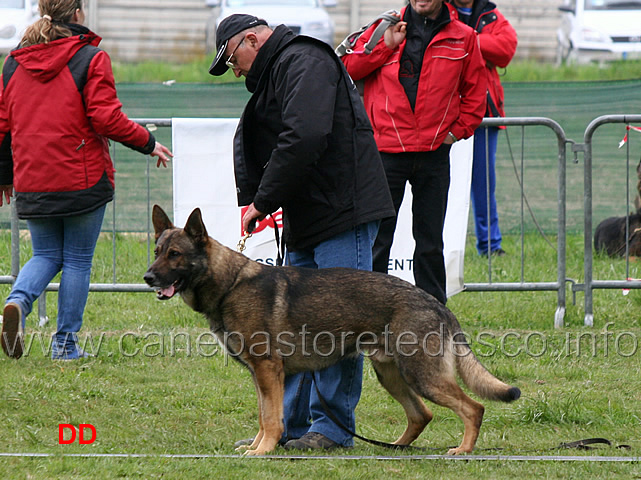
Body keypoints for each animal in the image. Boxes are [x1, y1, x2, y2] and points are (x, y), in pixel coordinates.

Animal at [145, 204, 520, 456]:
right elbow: (265, 415)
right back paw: (395, 447)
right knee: (421, 414)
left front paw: (263, 450)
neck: (229, 283)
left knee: (473, 408)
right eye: (157, 251)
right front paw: (258, 446)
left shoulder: (268, 371)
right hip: (392, 375)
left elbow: (271, 419)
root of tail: (436, 302)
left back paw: (463, 450)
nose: (148, 278)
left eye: (175, 254)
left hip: (421, 375)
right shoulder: (261, 376)